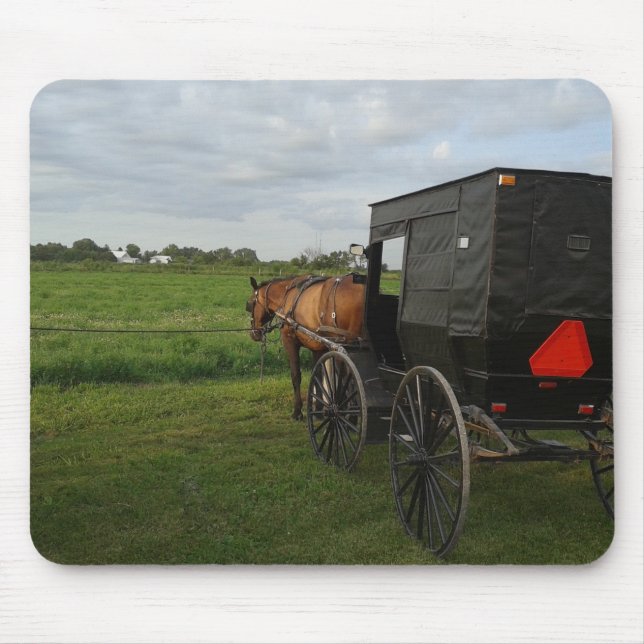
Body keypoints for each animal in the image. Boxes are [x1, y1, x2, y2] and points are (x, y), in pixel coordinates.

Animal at [246, 274, 365, 420]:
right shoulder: (317, 347)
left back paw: (349, 414)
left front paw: (297, 411)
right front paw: (317, 409)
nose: (253, 333)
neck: (287, 296)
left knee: (348, 378)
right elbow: (318, 374)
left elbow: (296, 375)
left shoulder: (290, 341)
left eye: (250, 303)